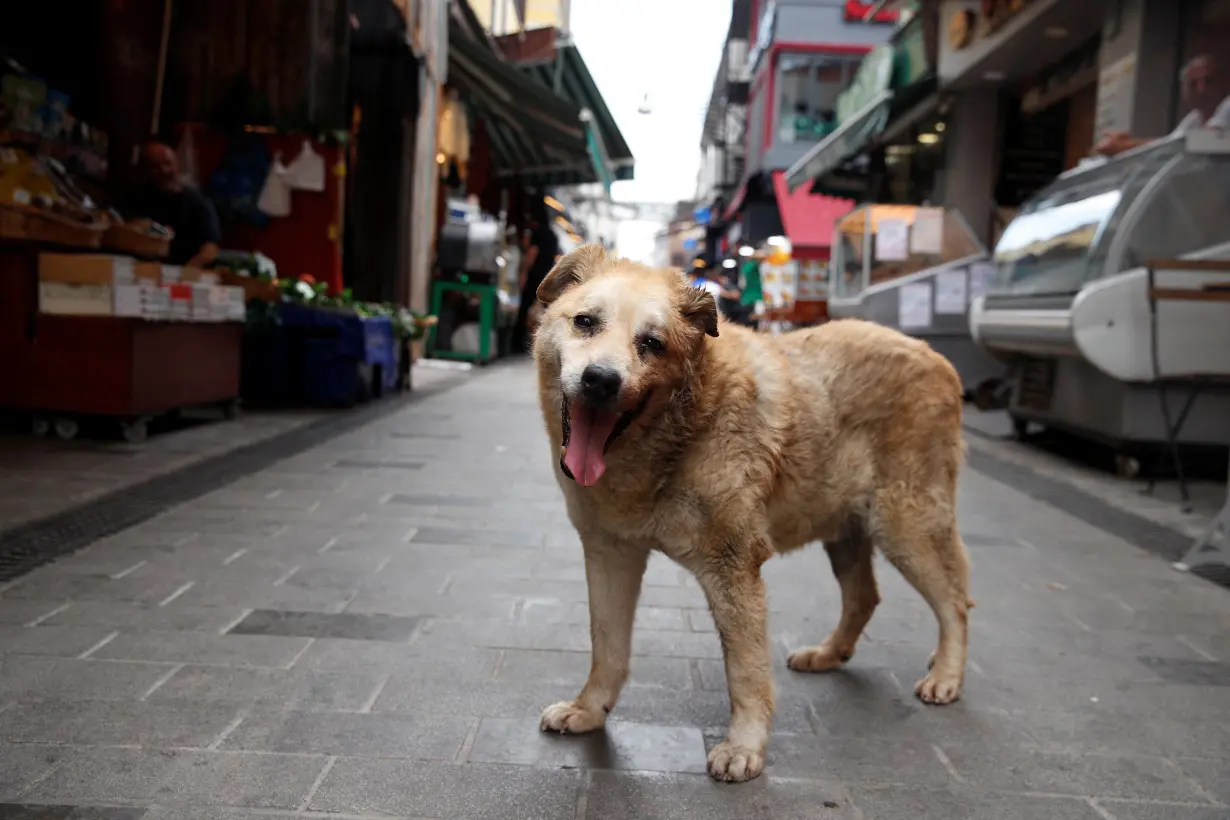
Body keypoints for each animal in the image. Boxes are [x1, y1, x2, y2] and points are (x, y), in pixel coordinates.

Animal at [531, 245, 969, 781]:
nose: (601, 381)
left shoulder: (734, 567)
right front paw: (589, 709)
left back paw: (946, 675)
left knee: (955, 601)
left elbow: (745, 671)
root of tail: (936, 357)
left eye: (652, 343)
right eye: (586, 322)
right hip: (845, 529)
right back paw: (829, 654)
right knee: (865, 597)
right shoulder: (611, 553)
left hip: (905, 525)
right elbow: (607, 645)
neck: (681, 427)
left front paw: (745, 747)